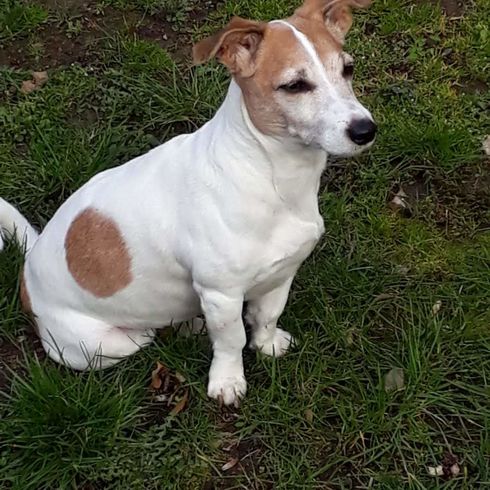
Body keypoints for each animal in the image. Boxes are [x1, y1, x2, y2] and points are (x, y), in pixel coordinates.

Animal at [0, 0, 375, 406]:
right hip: (102, 345)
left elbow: (267, 316)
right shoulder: (221, 294)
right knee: (144, 337)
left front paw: (267, 344)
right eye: (295, 85)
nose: (365, 130)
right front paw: (228, 381)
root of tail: (29, 265)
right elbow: (231, 340)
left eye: (348, 68)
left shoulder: (282, 273)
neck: (271, 176)